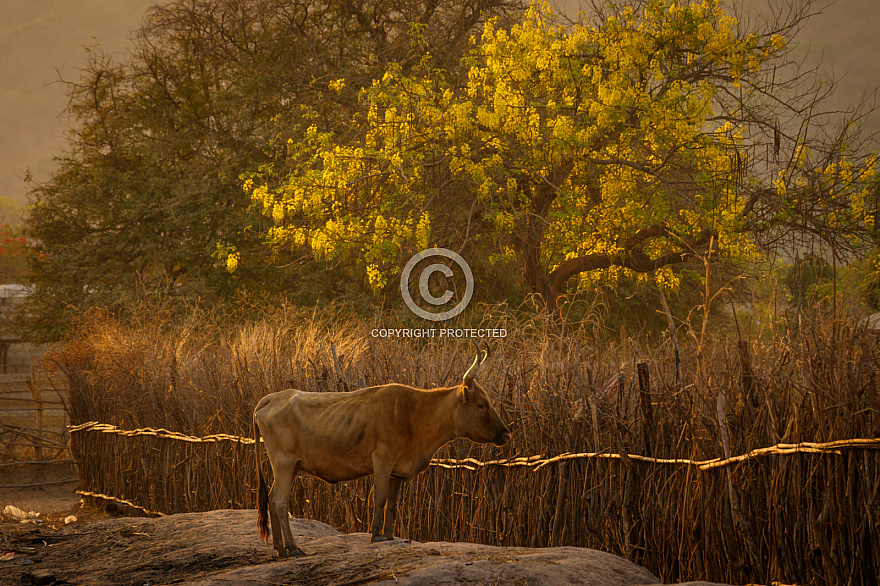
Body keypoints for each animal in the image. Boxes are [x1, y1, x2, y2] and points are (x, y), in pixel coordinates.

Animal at [253, 344, 508, 556]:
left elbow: (392, 504)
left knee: (273, 499)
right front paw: (376, 535)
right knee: (279, 501)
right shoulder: (383, 461)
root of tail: (272, 397)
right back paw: (293, 548)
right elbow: (380, 498)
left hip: (290, 467)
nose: (507, 434)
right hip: (284, 463)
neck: (415, 414)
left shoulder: (398, 470)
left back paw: (280, 548)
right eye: (481, 405)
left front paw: (390, 535)